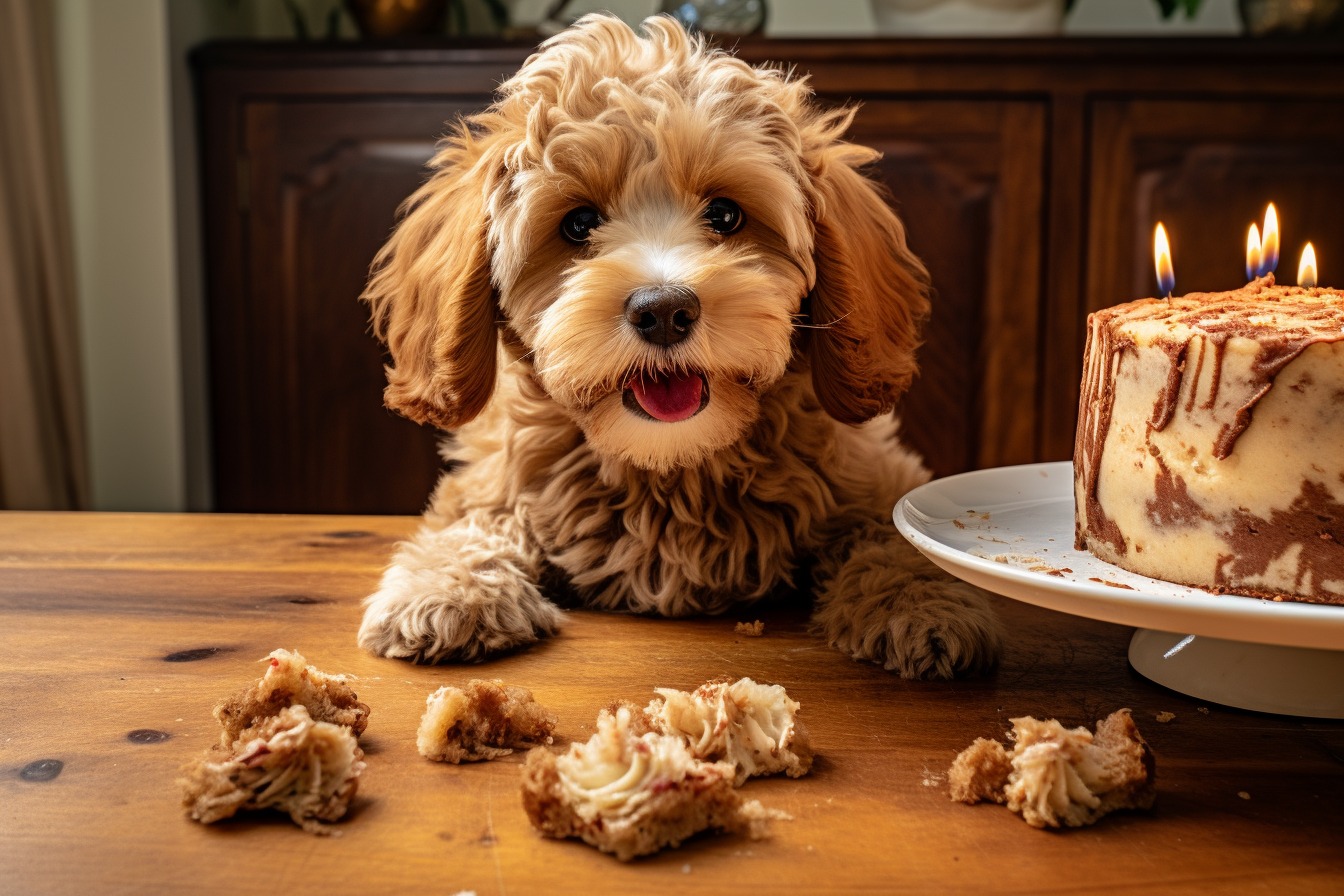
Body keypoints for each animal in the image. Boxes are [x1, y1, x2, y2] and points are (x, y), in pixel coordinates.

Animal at [352, 14, 1005, 679]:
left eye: (725, 215)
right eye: (578, 224)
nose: (663, 311)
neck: (670, 467)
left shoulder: (875, 472)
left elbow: (888, 530)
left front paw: (923, 602)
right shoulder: (490, 481)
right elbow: (472, 520)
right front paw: (448, 587)